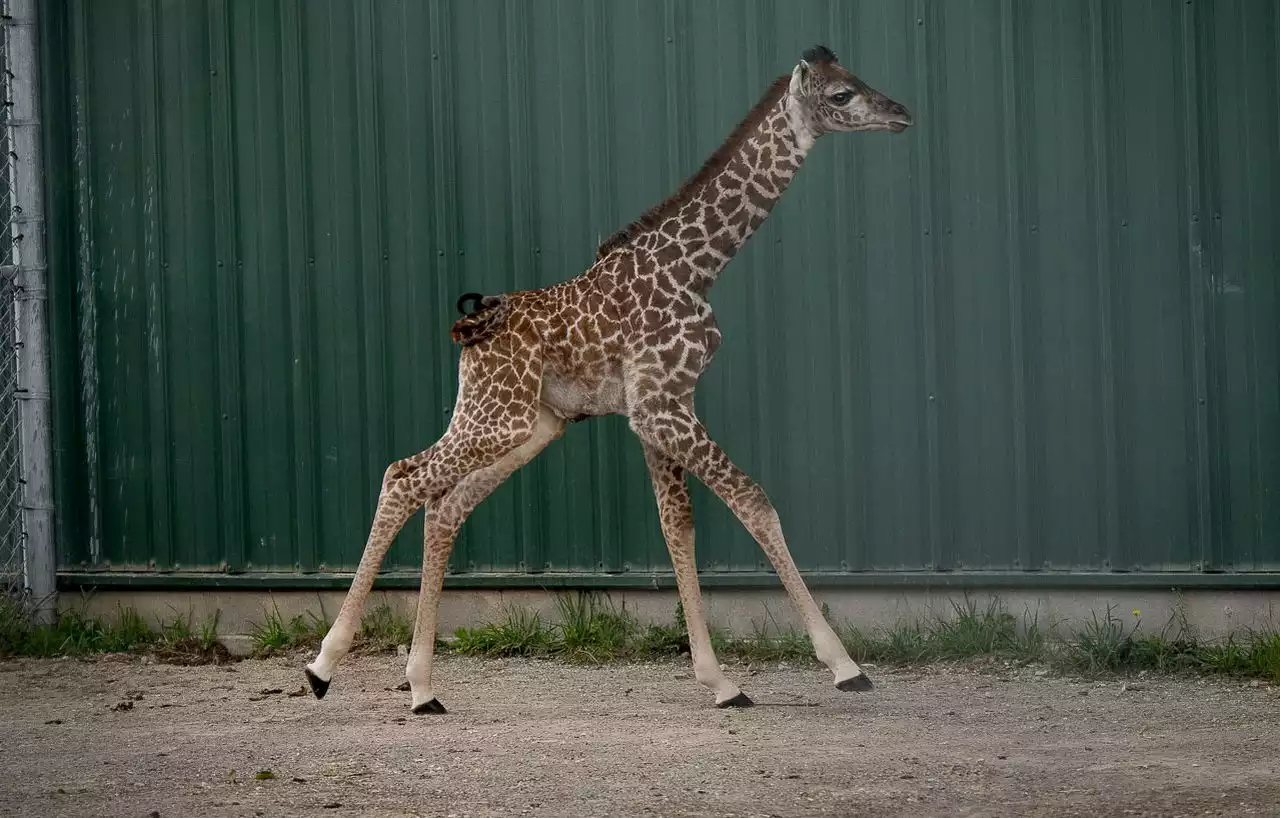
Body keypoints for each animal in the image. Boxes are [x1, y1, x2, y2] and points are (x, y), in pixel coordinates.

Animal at [307, 44, 911, 711]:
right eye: (841, 96)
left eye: (856, 80)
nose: (902, 114)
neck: (697, 267)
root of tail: (472, 332)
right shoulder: (661, 407)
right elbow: (754, 502)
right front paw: (843, 665)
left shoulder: (662, 407)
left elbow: (678, 527)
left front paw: (720, 681)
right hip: (498, 417)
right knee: (403, 477)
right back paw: (322, 667)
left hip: (528, 424)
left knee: (444, 504)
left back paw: (421, 687)